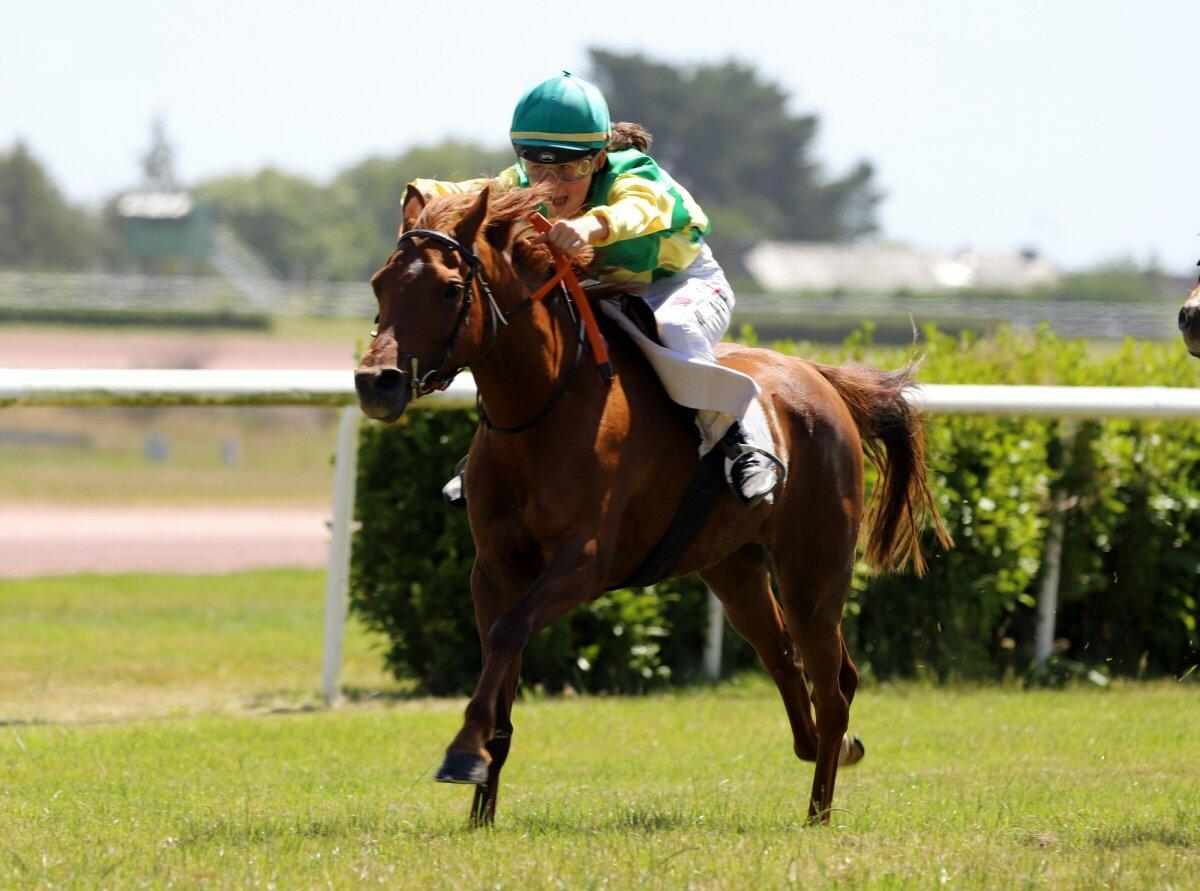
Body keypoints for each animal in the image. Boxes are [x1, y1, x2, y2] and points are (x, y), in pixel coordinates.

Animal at [354, 183, 951, 826]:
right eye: (380, 283)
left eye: (447, 287)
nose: (377, 383)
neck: (542, 410)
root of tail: (821, 378)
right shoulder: (494, 566)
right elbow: (499, 655)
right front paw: (480, 811)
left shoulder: (584, 562)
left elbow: (511, 630)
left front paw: (463, 753)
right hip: (733, 569)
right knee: (785, 660)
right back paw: (825, 747)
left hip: (813, 570)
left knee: (832, 684)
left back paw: (819, 807)